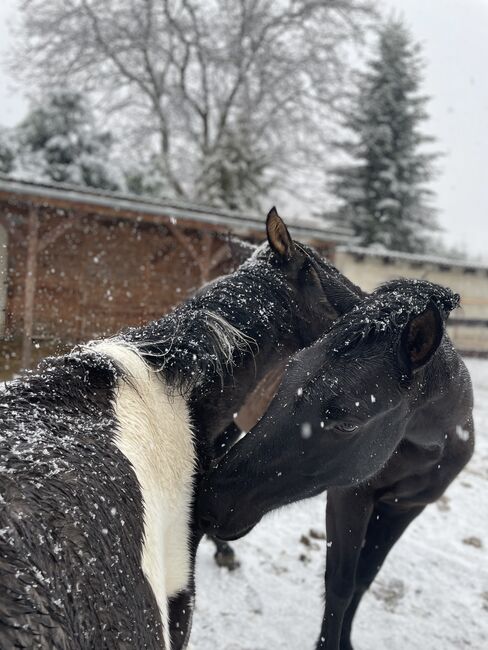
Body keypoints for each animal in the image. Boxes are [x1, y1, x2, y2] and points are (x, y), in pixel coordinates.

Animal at [197, 278, 472, 648]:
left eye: (348, 424)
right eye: (286, 377)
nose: (209, 502)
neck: (431, 446)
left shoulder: (405, 507)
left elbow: (364, 578)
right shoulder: (349, 498)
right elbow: (340, 583)